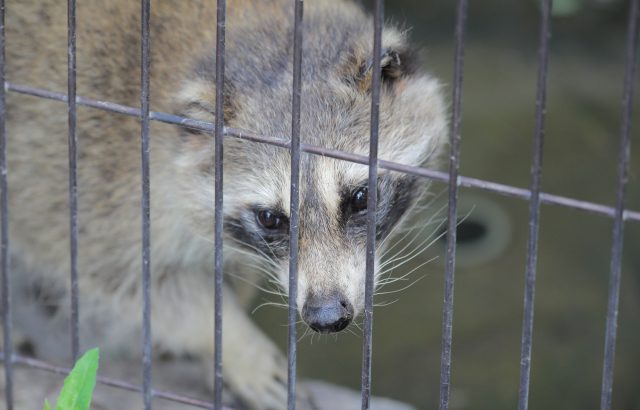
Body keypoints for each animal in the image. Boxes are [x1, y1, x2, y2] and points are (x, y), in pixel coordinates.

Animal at [2, 0, 444, 410]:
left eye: (359, 197)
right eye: (270, 218)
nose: (326, 316)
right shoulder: (88, 185)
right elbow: (137, 282)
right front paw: (232, 344)